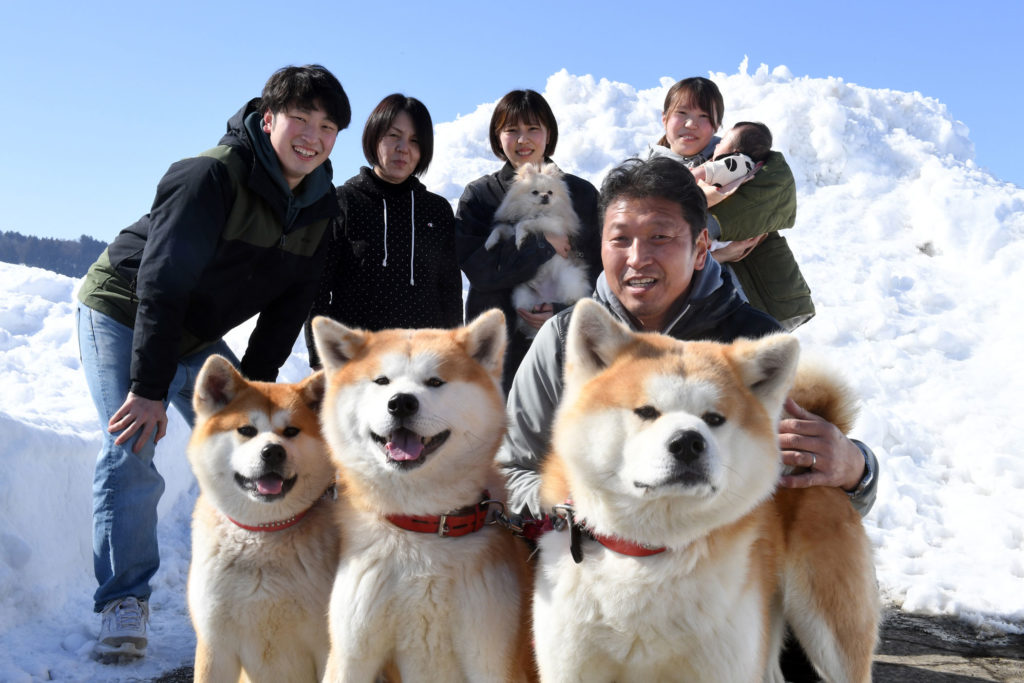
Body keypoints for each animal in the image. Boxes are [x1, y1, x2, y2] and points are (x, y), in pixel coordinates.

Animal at [186, 358, 337, 683]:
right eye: (246, 430)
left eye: (291, 431)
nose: (273, 451)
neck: (263, 533)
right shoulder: (215, 645)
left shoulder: (329, 646)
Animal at [311, 311, 536, 683]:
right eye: (382, 381)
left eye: (435, 382)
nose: (401, 402)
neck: (423, 527)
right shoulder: (352, 654)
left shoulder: (491, 656)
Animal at [487, 163, 593, 339]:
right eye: (535, 192)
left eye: (550, 192)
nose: (545, 196)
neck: (534, 210)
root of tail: (547, 297)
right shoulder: (510, 228)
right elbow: (500, 228)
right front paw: (490, 242)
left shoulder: (553, 223)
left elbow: (526, 223)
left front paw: (520, 237)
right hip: (522, 297)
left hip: (569, 278)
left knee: (573, 299)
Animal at [532, 301, 876, 683]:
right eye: (646, 411)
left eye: (714, 419)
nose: (687, 442)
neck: (647, 553)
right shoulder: (570, 667)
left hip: (830, 635)